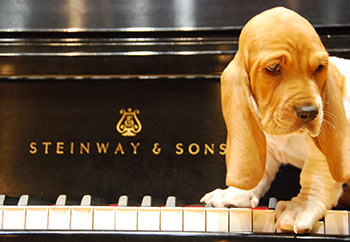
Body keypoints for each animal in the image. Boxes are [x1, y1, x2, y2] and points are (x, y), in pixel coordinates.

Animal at [200, 7, 350, 234]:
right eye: (273, 68)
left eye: (319, 68)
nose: (310, 112)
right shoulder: (265, 143)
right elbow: (260, 170)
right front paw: (234, 194)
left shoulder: (322, 154)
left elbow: (315, 177)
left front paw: (301, 208)